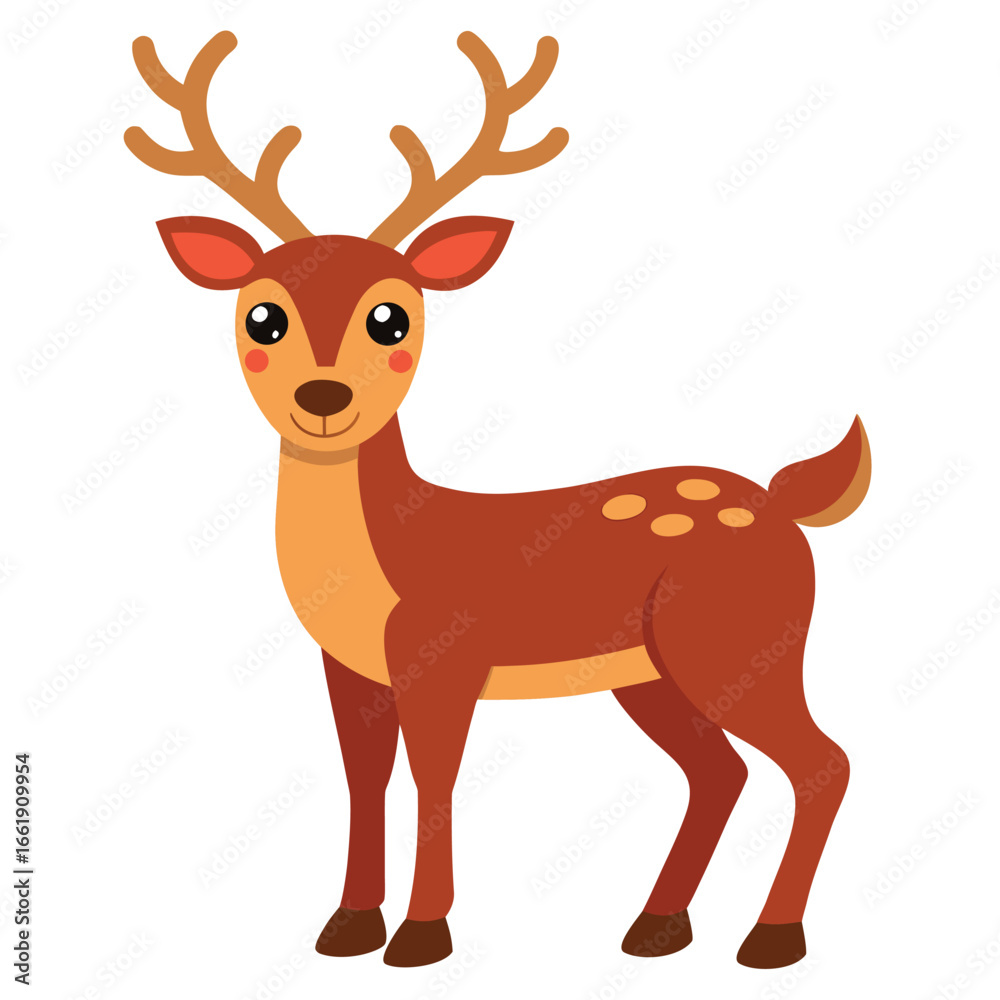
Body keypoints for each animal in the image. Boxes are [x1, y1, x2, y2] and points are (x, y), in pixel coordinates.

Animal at [125, 29, 870, 970]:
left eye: (392, 318)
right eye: (262, 317)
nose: (324, 397)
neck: (384, 558)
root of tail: (783, 506)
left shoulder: (443, 650)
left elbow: (434, 774)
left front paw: (421, 934)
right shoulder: (349, 665)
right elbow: (364, 776)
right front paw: (347, 926)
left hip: (738, 642)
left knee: (822, 762)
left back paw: (771, 939)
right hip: (653, 671)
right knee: (720, 771)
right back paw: (656, 928)